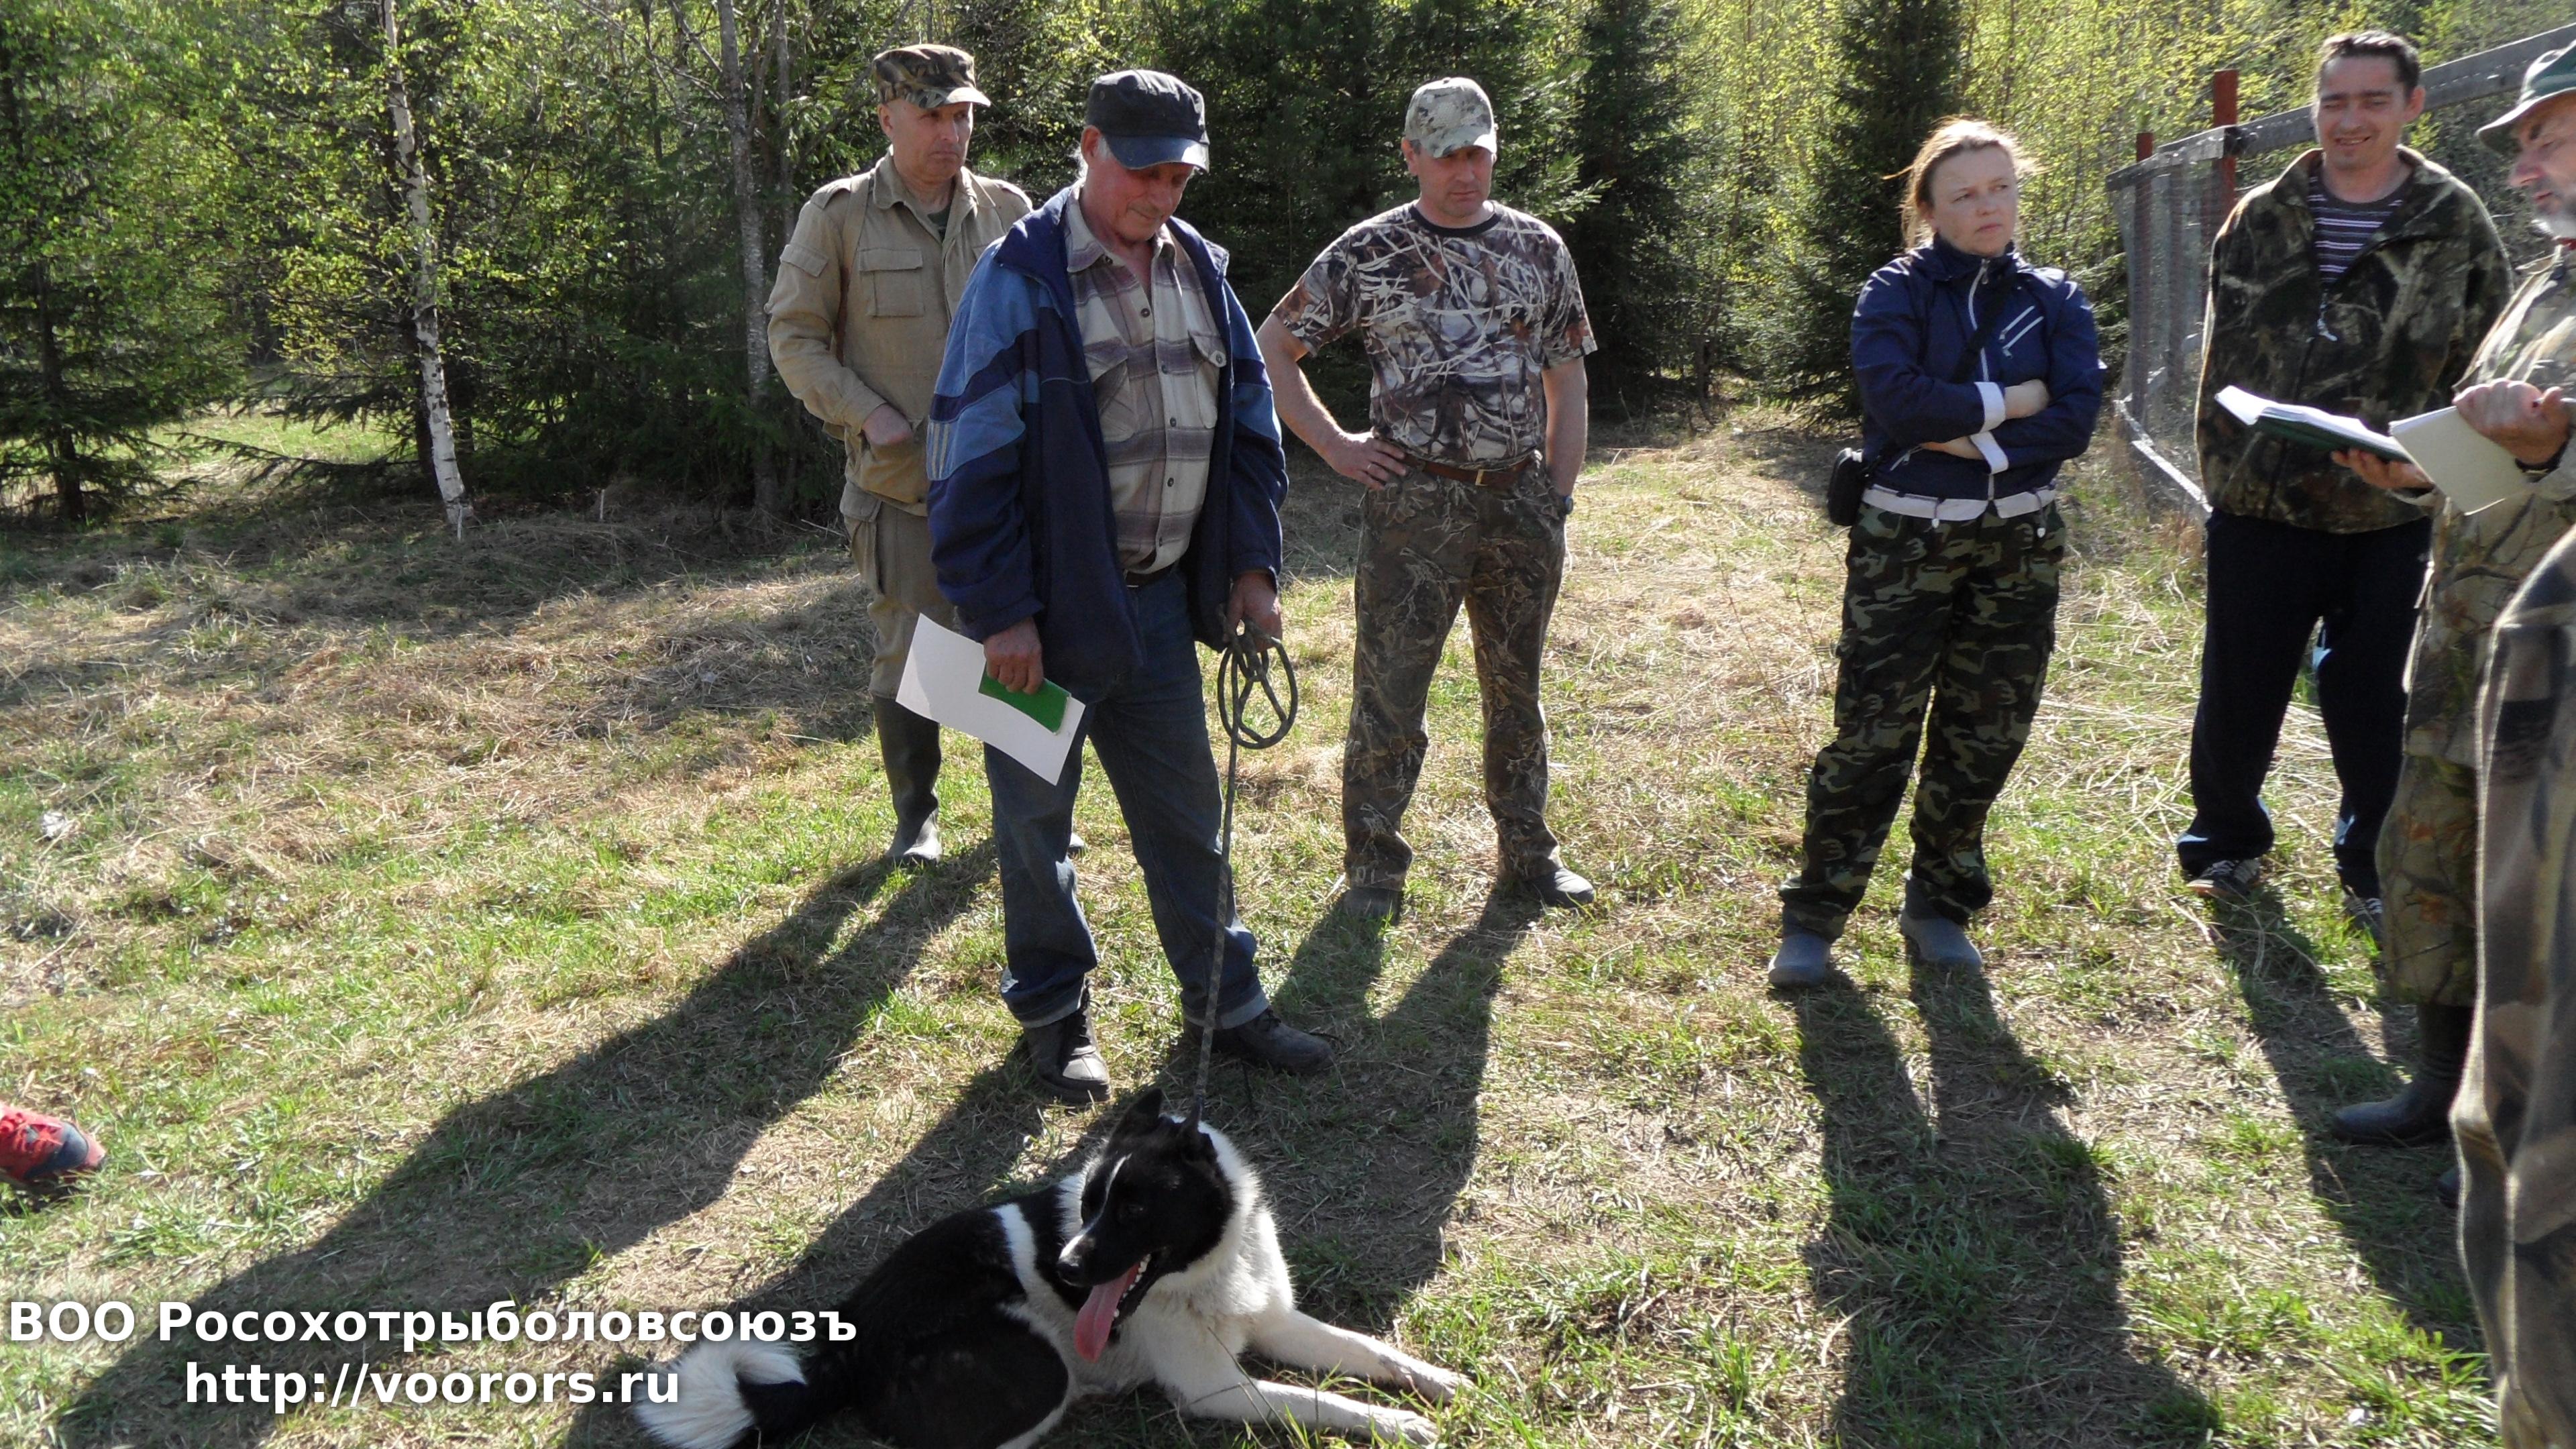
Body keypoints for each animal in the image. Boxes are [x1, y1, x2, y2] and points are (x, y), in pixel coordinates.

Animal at [636, 1087, 1462, 1449]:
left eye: (1132, 1209)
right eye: (1089, 1205)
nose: (1065, 1265)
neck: (1204, 1269)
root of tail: (846, 1352)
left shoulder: (1276, 1321)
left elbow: (1367, 1351)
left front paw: (1437, 1383)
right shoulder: (1217, 1389)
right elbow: (1321, 1402)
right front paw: (1398, 1423)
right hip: (1037, 1367)